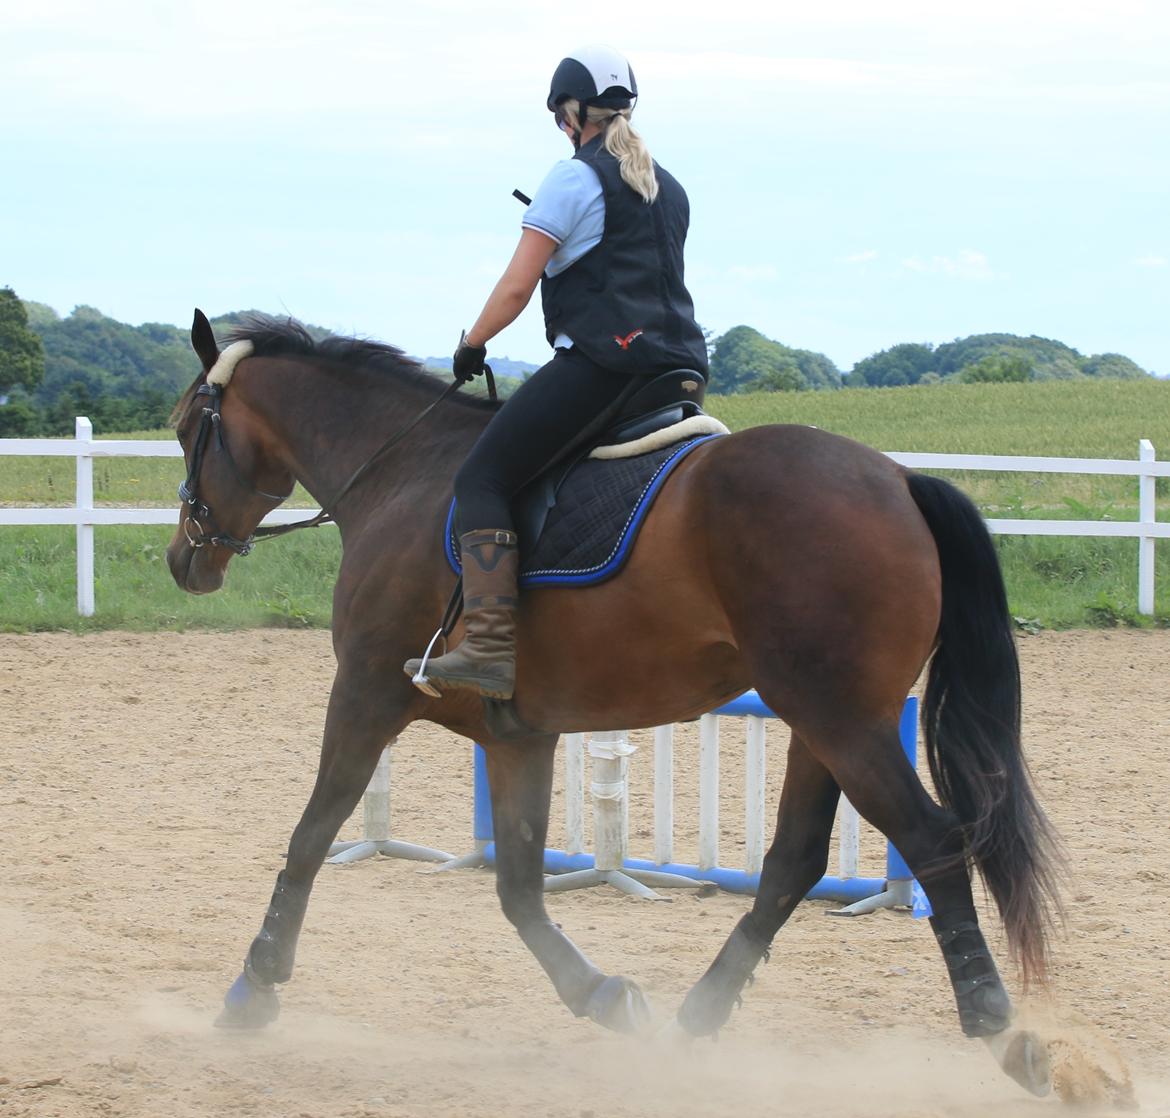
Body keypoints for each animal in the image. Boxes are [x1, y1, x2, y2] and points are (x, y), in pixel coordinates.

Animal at [167, 311, 1071, 1094]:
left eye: (184, 430)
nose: (185, 560)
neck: (402, 473)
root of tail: (899, 477)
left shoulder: (364, 694)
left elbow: (311, 836)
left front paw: (253, 987)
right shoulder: (517, 735)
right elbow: (518, 889)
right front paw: (604, 998)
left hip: (843, 722)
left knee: (931, 839)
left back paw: (1001, 1030)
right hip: (824, 724)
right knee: (793, 864)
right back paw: (695, 1020)